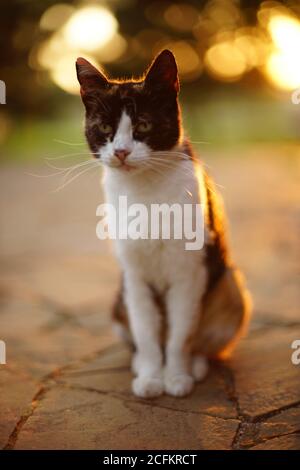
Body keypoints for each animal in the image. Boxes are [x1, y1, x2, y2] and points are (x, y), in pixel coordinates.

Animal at [75, 50, 251, 396]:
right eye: (104, 126)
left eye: (143, 124)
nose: (121, 152)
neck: (145, 191)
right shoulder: (134, 275)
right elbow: (145, 333)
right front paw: (150, 377)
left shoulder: (190, 272)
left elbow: (181, 335)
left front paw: (176, 376)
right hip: (119, 299)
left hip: (230, 287)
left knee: (202, 340)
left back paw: (196, 366)